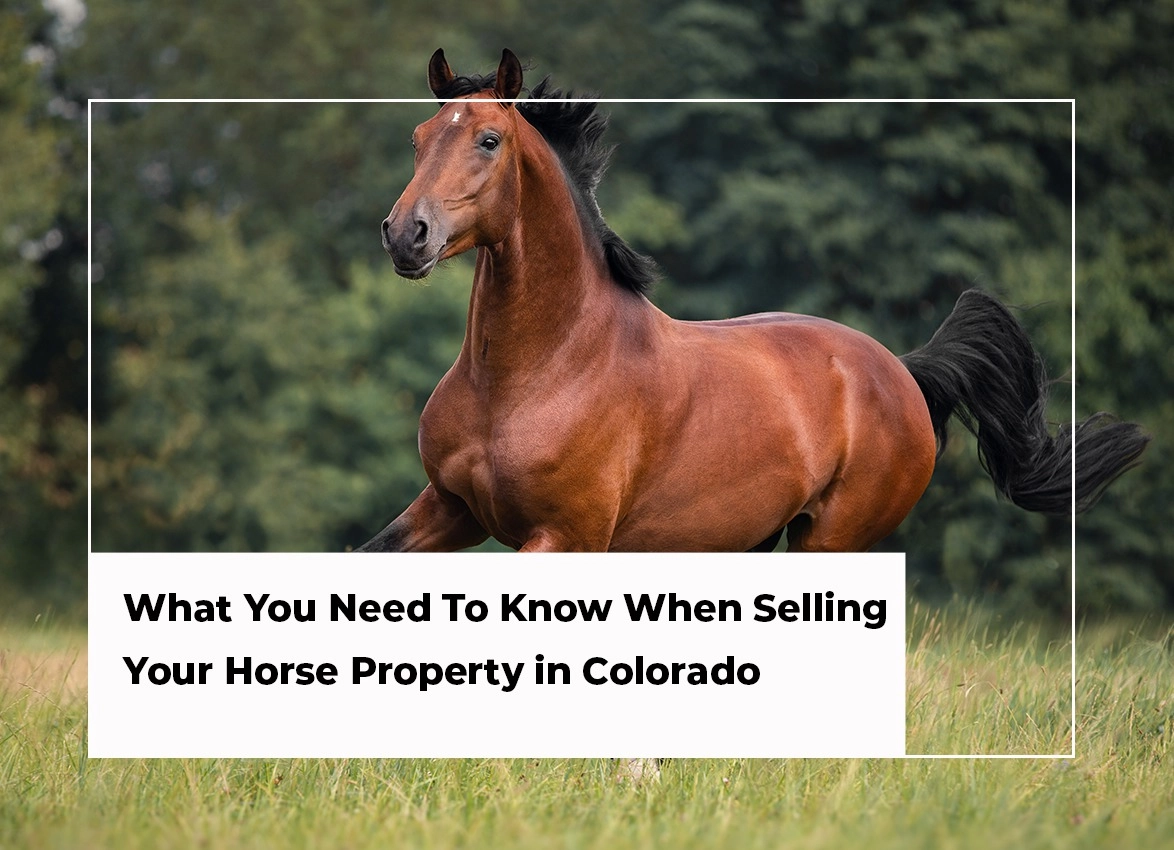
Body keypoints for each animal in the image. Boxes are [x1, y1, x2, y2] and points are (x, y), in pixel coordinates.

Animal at [358, 48, 1148, 555]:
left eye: (489, 139)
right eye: (418, 137)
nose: (406, 234)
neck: (536, 372)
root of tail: (903, 369)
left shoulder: (566, 538)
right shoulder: (449, 508)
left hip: (831, 541)